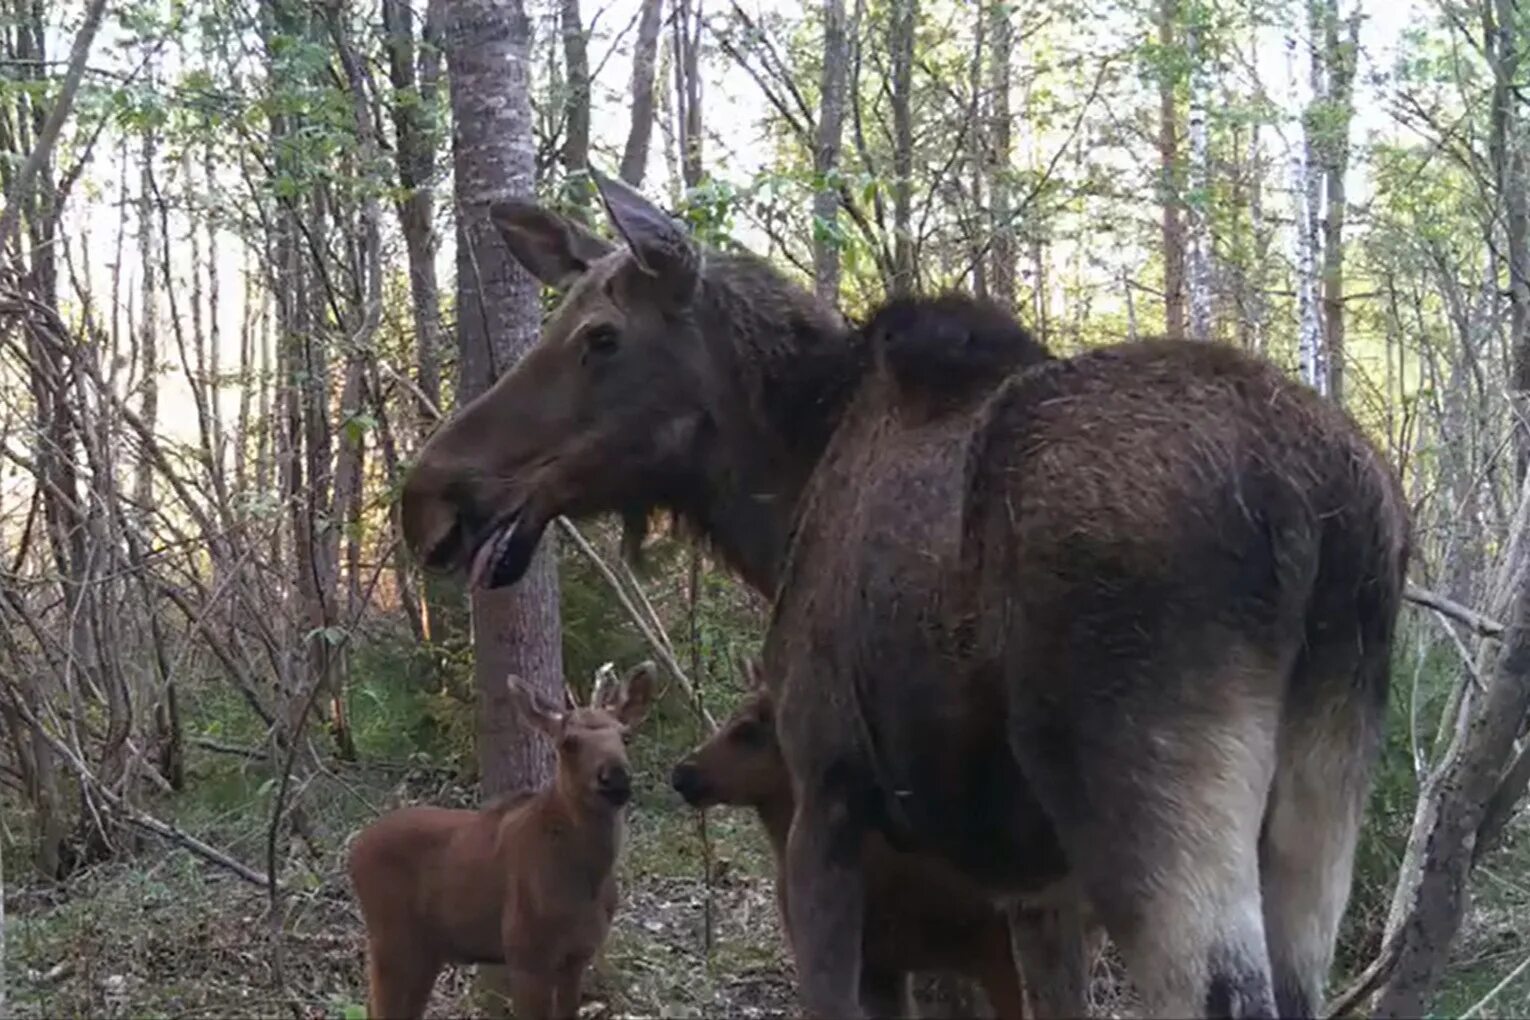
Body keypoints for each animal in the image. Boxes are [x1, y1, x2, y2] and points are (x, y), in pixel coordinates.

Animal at [350, 663, 654, 1020]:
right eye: (569, 742)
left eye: (626, 736)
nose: (615, 777)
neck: (586, 881)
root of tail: (354, 849)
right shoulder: (526, 953)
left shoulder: (577, 956)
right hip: (391, 939)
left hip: (426, 949)